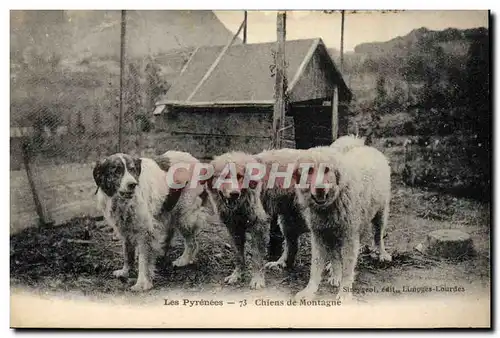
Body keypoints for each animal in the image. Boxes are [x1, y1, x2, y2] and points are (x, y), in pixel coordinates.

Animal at [93, 151, 207, 290]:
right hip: (166, 210)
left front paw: (142, 283)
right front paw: (125, 272)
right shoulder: (125, 229)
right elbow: (128, 254)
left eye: (132, 169)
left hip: (184, 216)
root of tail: (196, 160)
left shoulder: (145, 232)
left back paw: (184, 260)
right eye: (116, 171)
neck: (122, 202)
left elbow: (144, 259)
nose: (132, 184)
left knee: (192, 242)